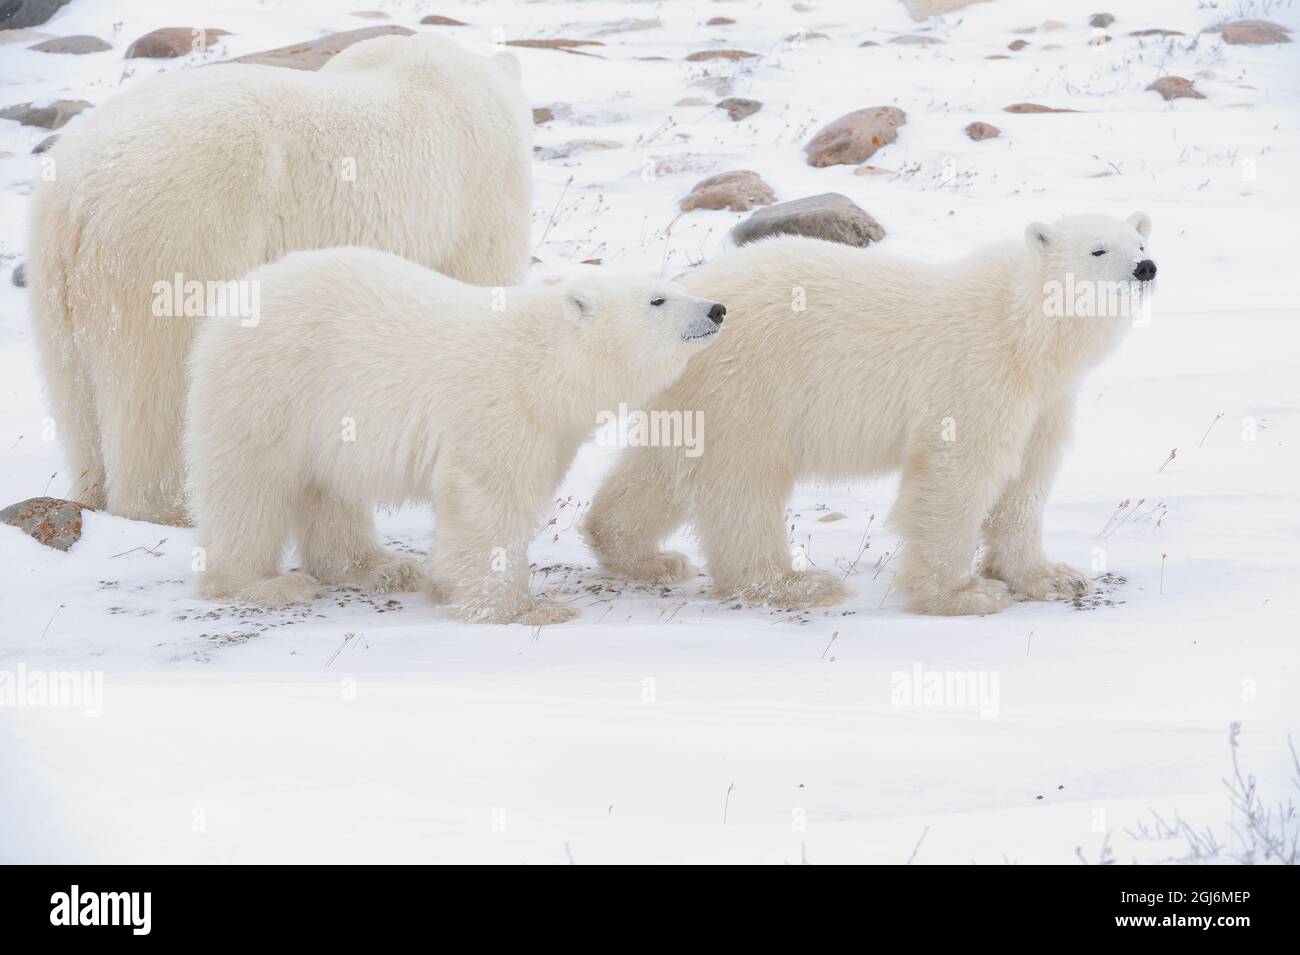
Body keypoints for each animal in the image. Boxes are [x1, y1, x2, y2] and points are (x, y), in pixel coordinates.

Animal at [27, 33, 530, 527]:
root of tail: (81, 196)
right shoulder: (479, 200)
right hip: (177, 237)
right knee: (161, 383)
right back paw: (169, 508)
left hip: (57, 280)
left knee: (75, 394)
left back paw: (91, 489)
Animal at [183, 244, 728, 628]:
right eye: (658, 299)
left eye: (671, 286)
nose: (717, 309)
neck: (542, 365)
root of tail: (240, 293)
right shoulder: (499, 407)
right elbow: (488, 502)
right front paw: (523, 610)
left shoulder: (551, 432)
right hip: (270, 386)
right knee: (248, 487)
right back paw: (261, 584)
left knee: (331, 489)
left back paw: (381, 567)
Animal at [585, 213, 1154, 615]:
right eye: (1098, 248)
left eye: (1142, 241)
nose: (1145, 268)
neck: (1023, 332)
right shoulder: (976, 375)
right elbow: (958, 474)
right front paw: (961, 594)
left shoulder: (1045, 402)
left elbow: (1027, 482)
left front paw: (1053, 576)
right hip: (749, 384)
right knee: (741, 482)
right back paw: (794, 582)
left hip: (698, 393)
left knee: (661, 468)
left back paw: (640, 554)